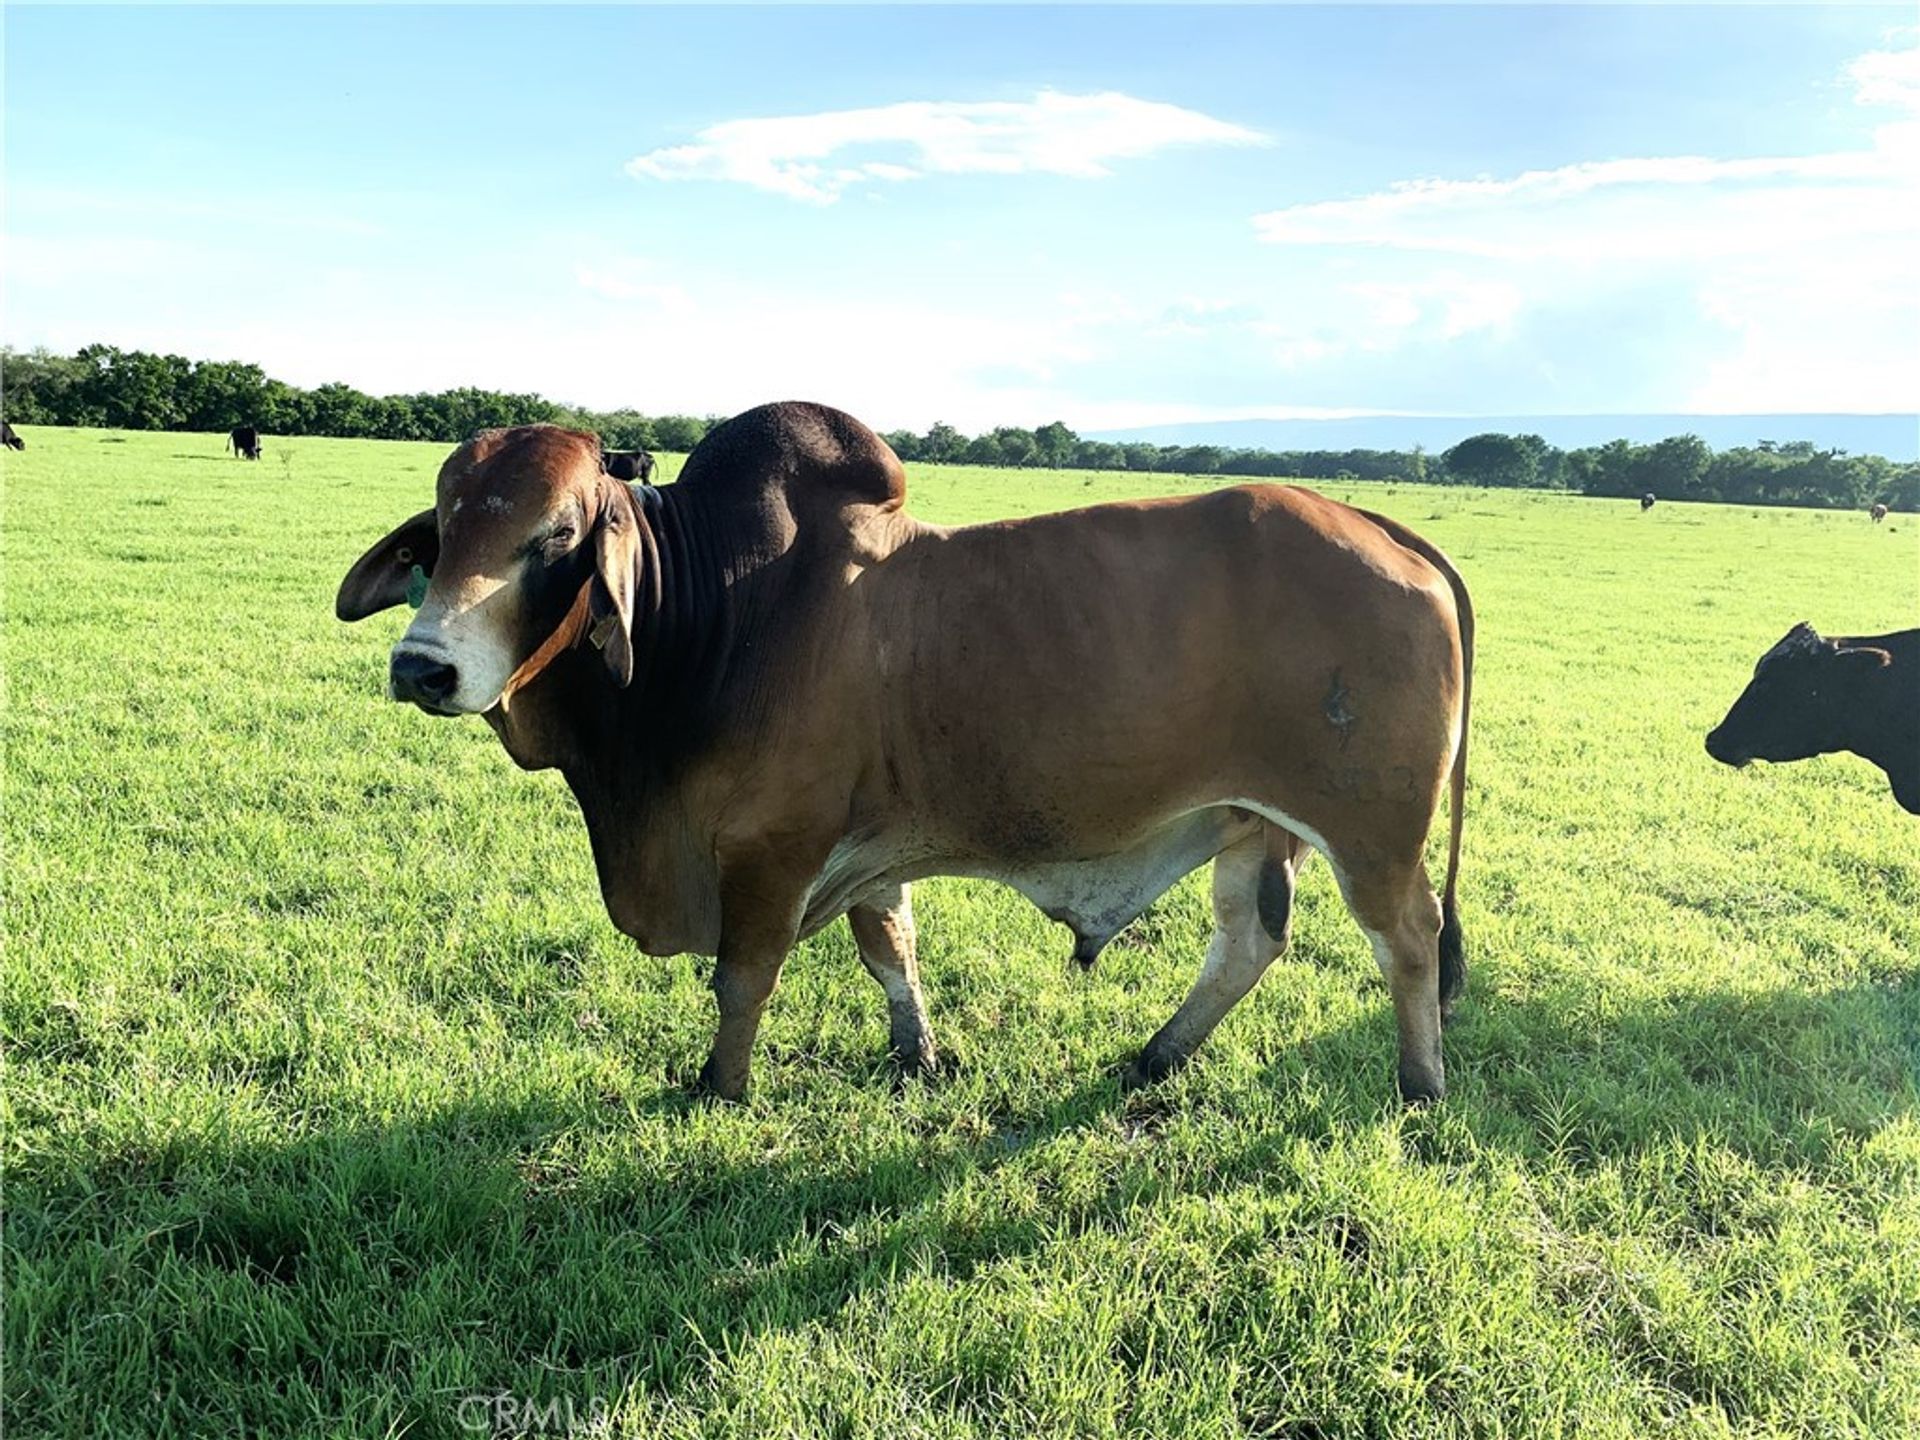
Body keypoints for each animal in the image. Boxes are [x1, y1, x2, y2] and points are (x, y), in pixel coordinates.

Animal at [337, 407, 1474, 1105]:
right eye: (441, 532)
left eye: (557, 536)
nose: (423, 666)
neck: (711, 617)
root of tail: (1380, 526)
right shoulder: (868, 844)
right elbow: (891, 948)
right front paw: (917, 1053)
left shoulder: (773, 850)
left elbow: (743, 979)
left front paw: (720, 1087)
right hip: (1253, 824)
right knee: (1249, 940)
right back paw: (1154, 1058)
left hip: (1371, 828)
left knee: (1407, 937)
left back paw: (1419, 1087)